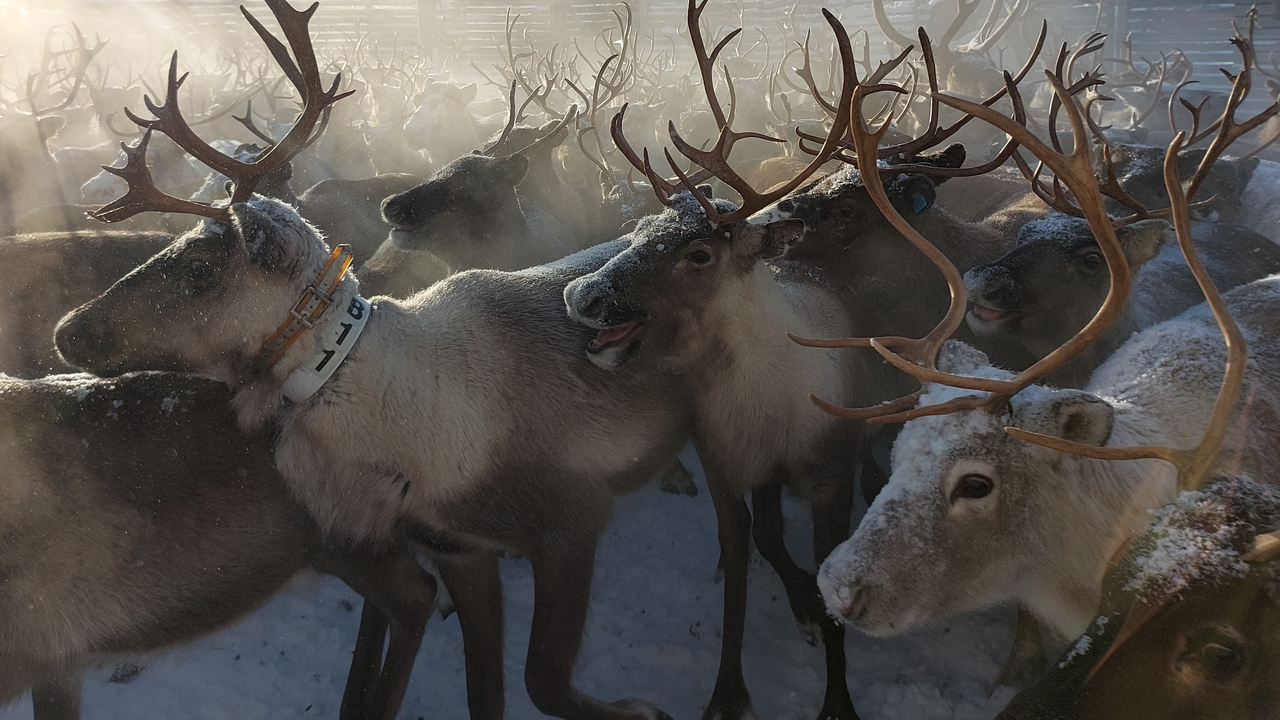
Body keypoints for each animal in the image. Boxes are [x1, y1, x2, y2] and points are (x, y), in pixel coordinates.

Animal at [52, 3, 693, 719]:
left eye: (199, 268)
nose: (68, 330)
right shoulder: (452, 550)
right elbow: (482, 687)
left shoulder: (570, 521)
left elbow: (540, 677)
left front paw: (643, 709)